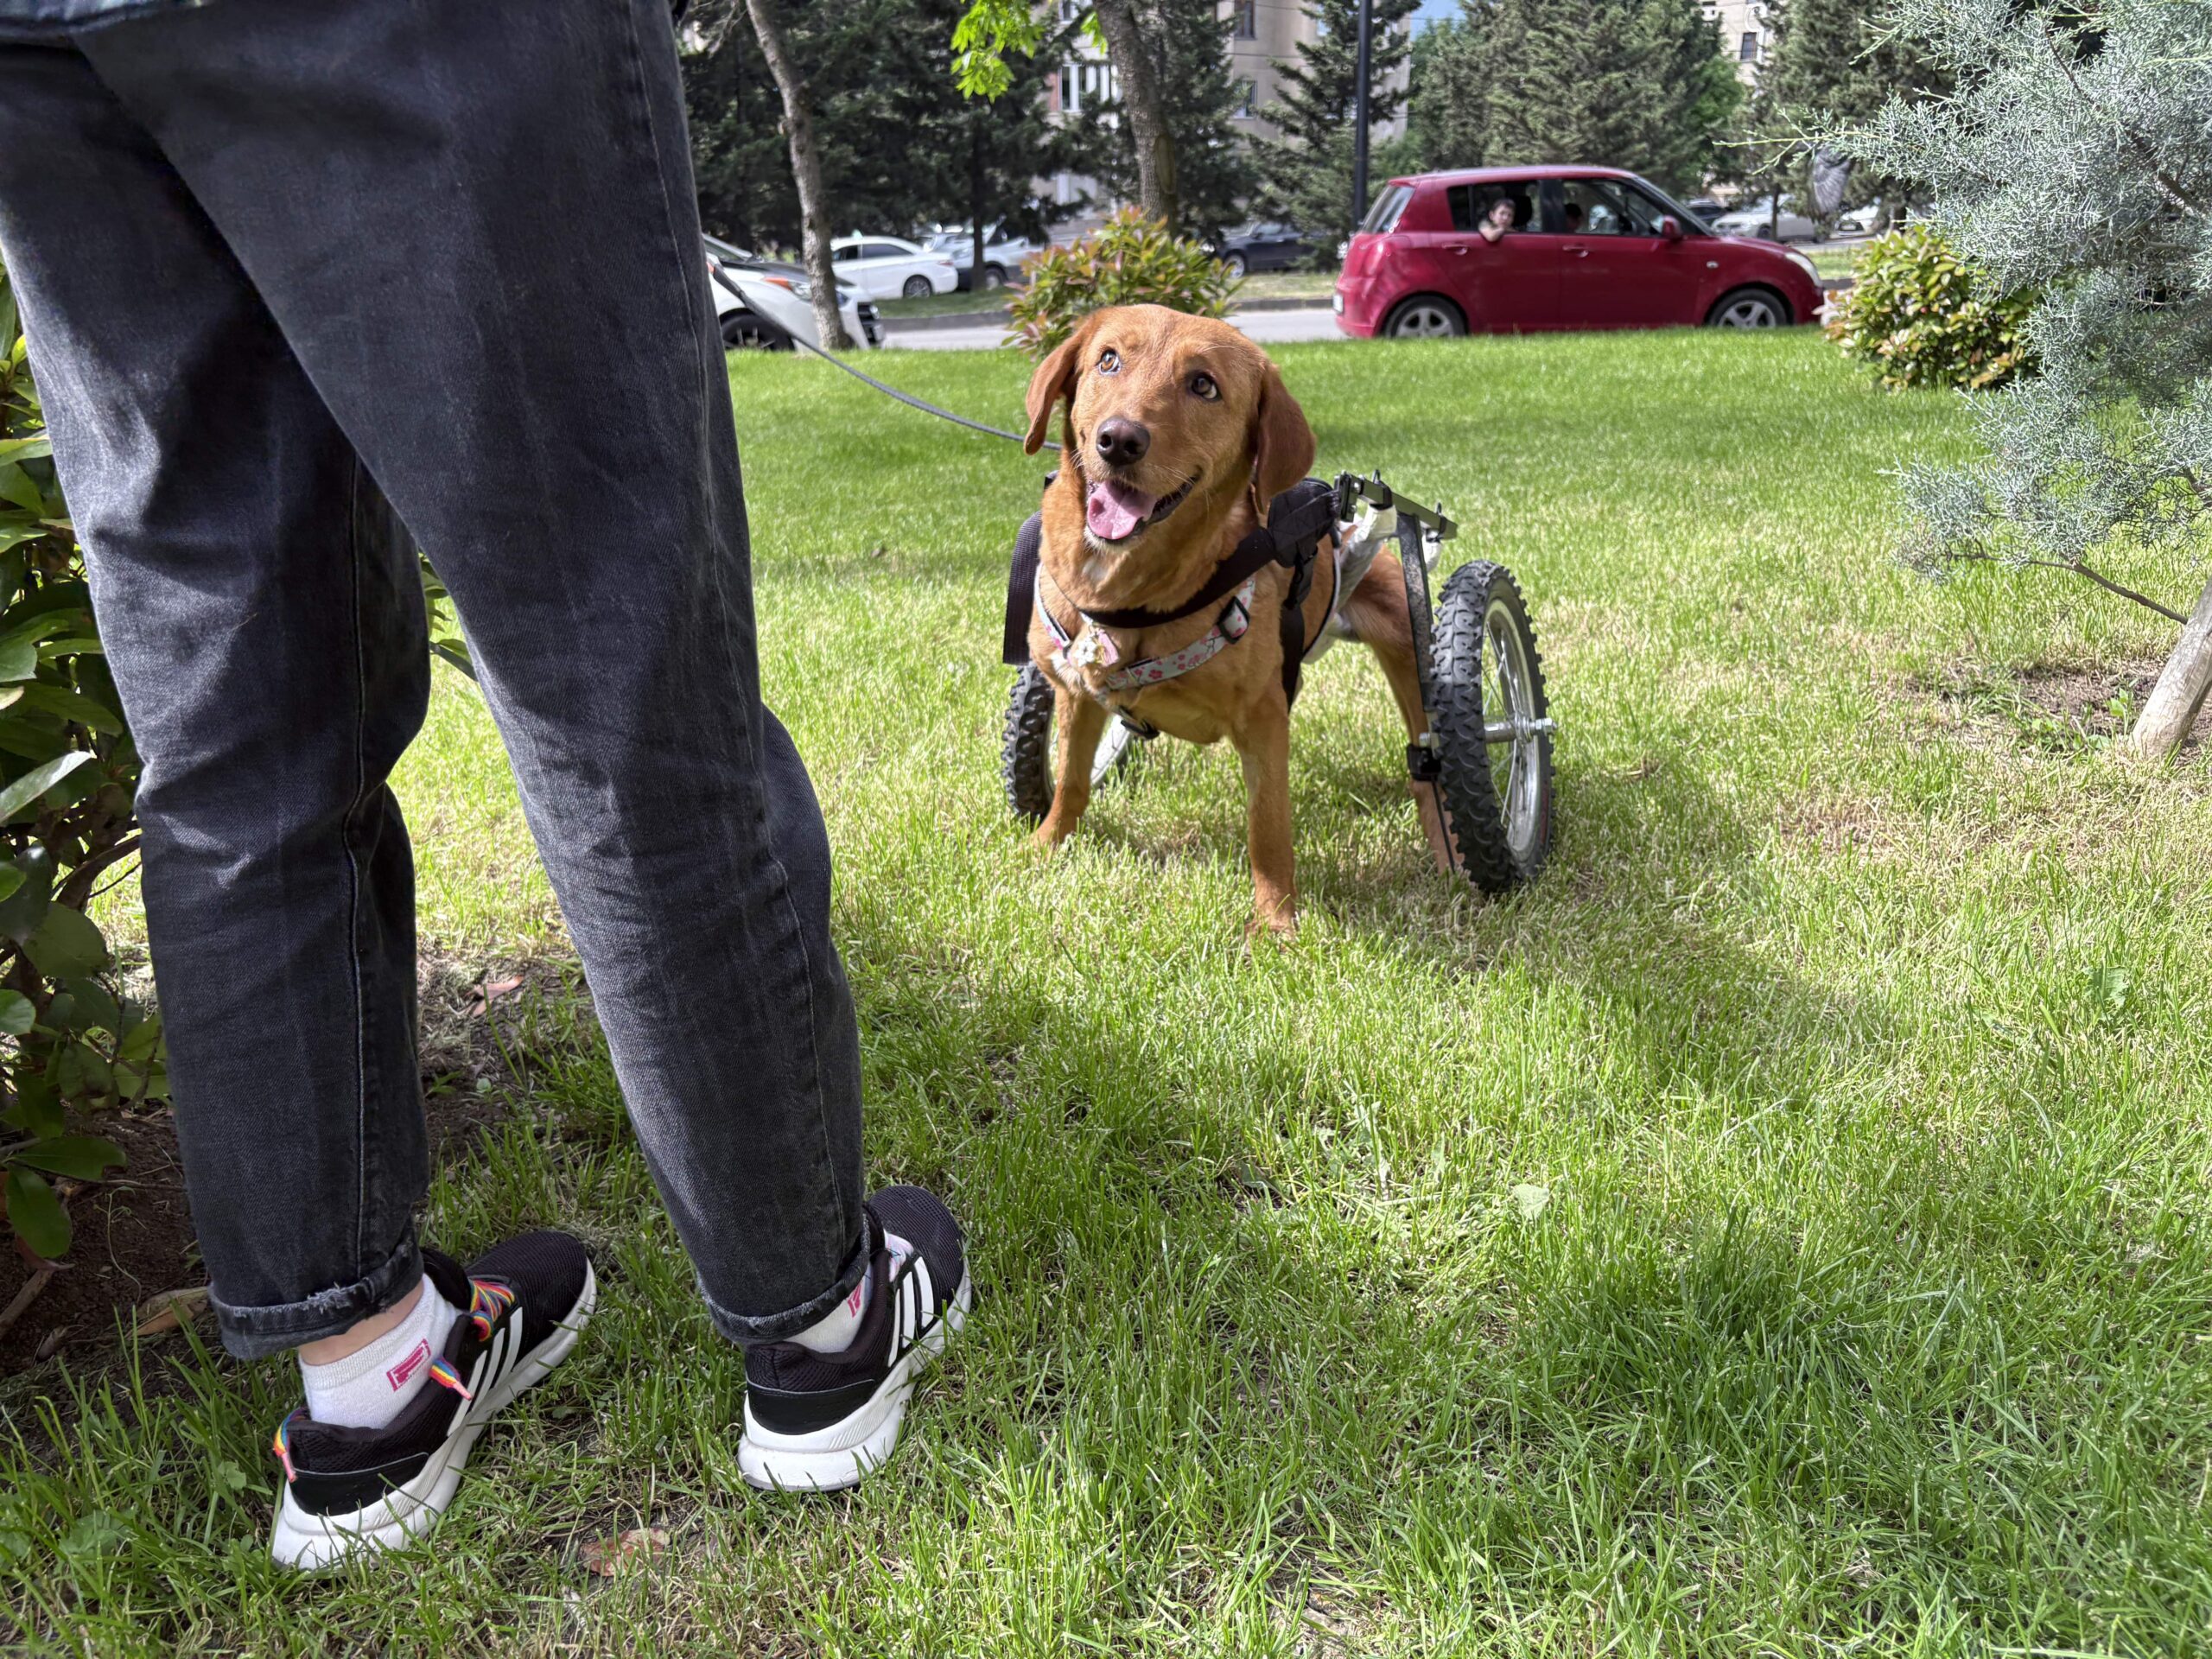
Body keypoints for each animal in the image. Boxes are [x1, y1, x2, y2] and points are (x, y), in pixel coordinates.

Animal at [1015, 304, 1447, 934]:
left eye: (1203, 386)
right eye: (1108, 360)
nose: (1118, 440)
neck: (1130, 593)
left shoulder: (1263, 718)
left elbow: (1267, 827)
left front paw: (1275, 923)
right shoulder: (1074, 689)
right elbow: (1071, 778)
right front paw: (1047, 845)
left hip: (1408, 646)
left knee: (1429, 764)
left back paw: (1450, 848)